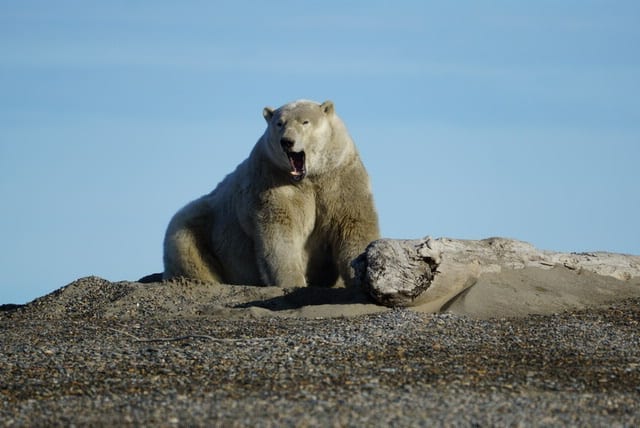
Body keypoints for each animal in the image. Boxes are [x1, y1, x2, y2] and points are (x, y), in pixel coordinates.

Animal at [164, 100, 380, 288]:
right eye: (279, 123)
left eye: (305, 122)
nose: (287, 141)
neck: (310, 178)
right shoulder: (272, 178)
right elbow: (279, 230)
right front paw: (293, 282)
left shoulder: (340, 177)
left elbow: (353, 224)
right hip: (197, 227)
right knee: (187, 245)